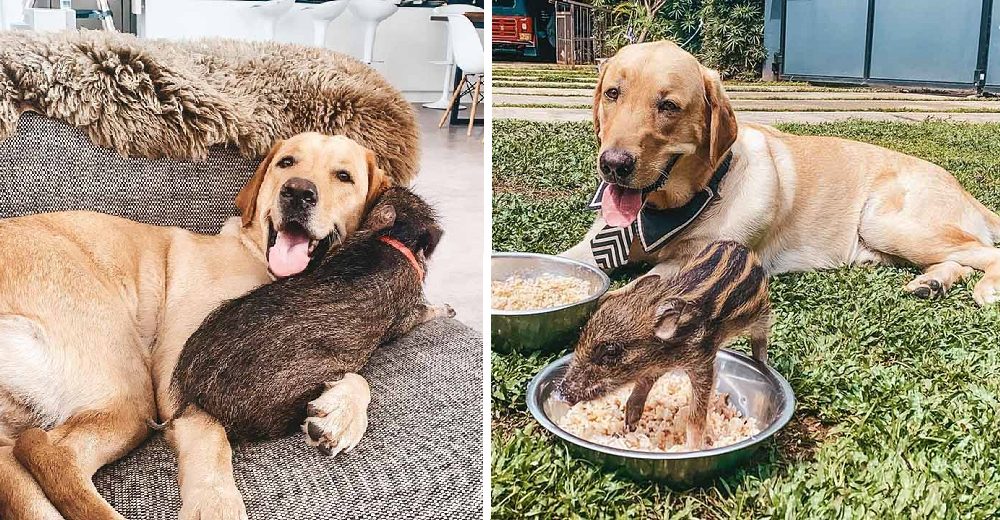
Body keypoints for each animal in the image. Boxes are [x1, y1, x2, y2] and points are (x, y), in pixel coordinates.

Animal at [0, 133, 386, 520]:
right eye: (286, 162)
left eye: (344, 176)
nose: (297, 191)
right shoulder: (177, 365)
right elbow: (210, 438)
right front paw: (215, 501)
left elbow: (355, 375)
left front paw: (343, 411)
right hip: (127, 381)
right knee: (52, 451)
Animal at [568, 41, 1000, 304]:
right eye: (612, 94)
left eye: (669, 106)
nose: (613, 164)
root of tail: (958, 185)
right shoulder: (590, 245)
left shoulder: (696, 265)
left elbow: (627, 291)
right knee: (959, 260)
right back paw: (931, 282)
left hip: (886, 220)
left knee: (986, 252)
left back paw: (986, 287)